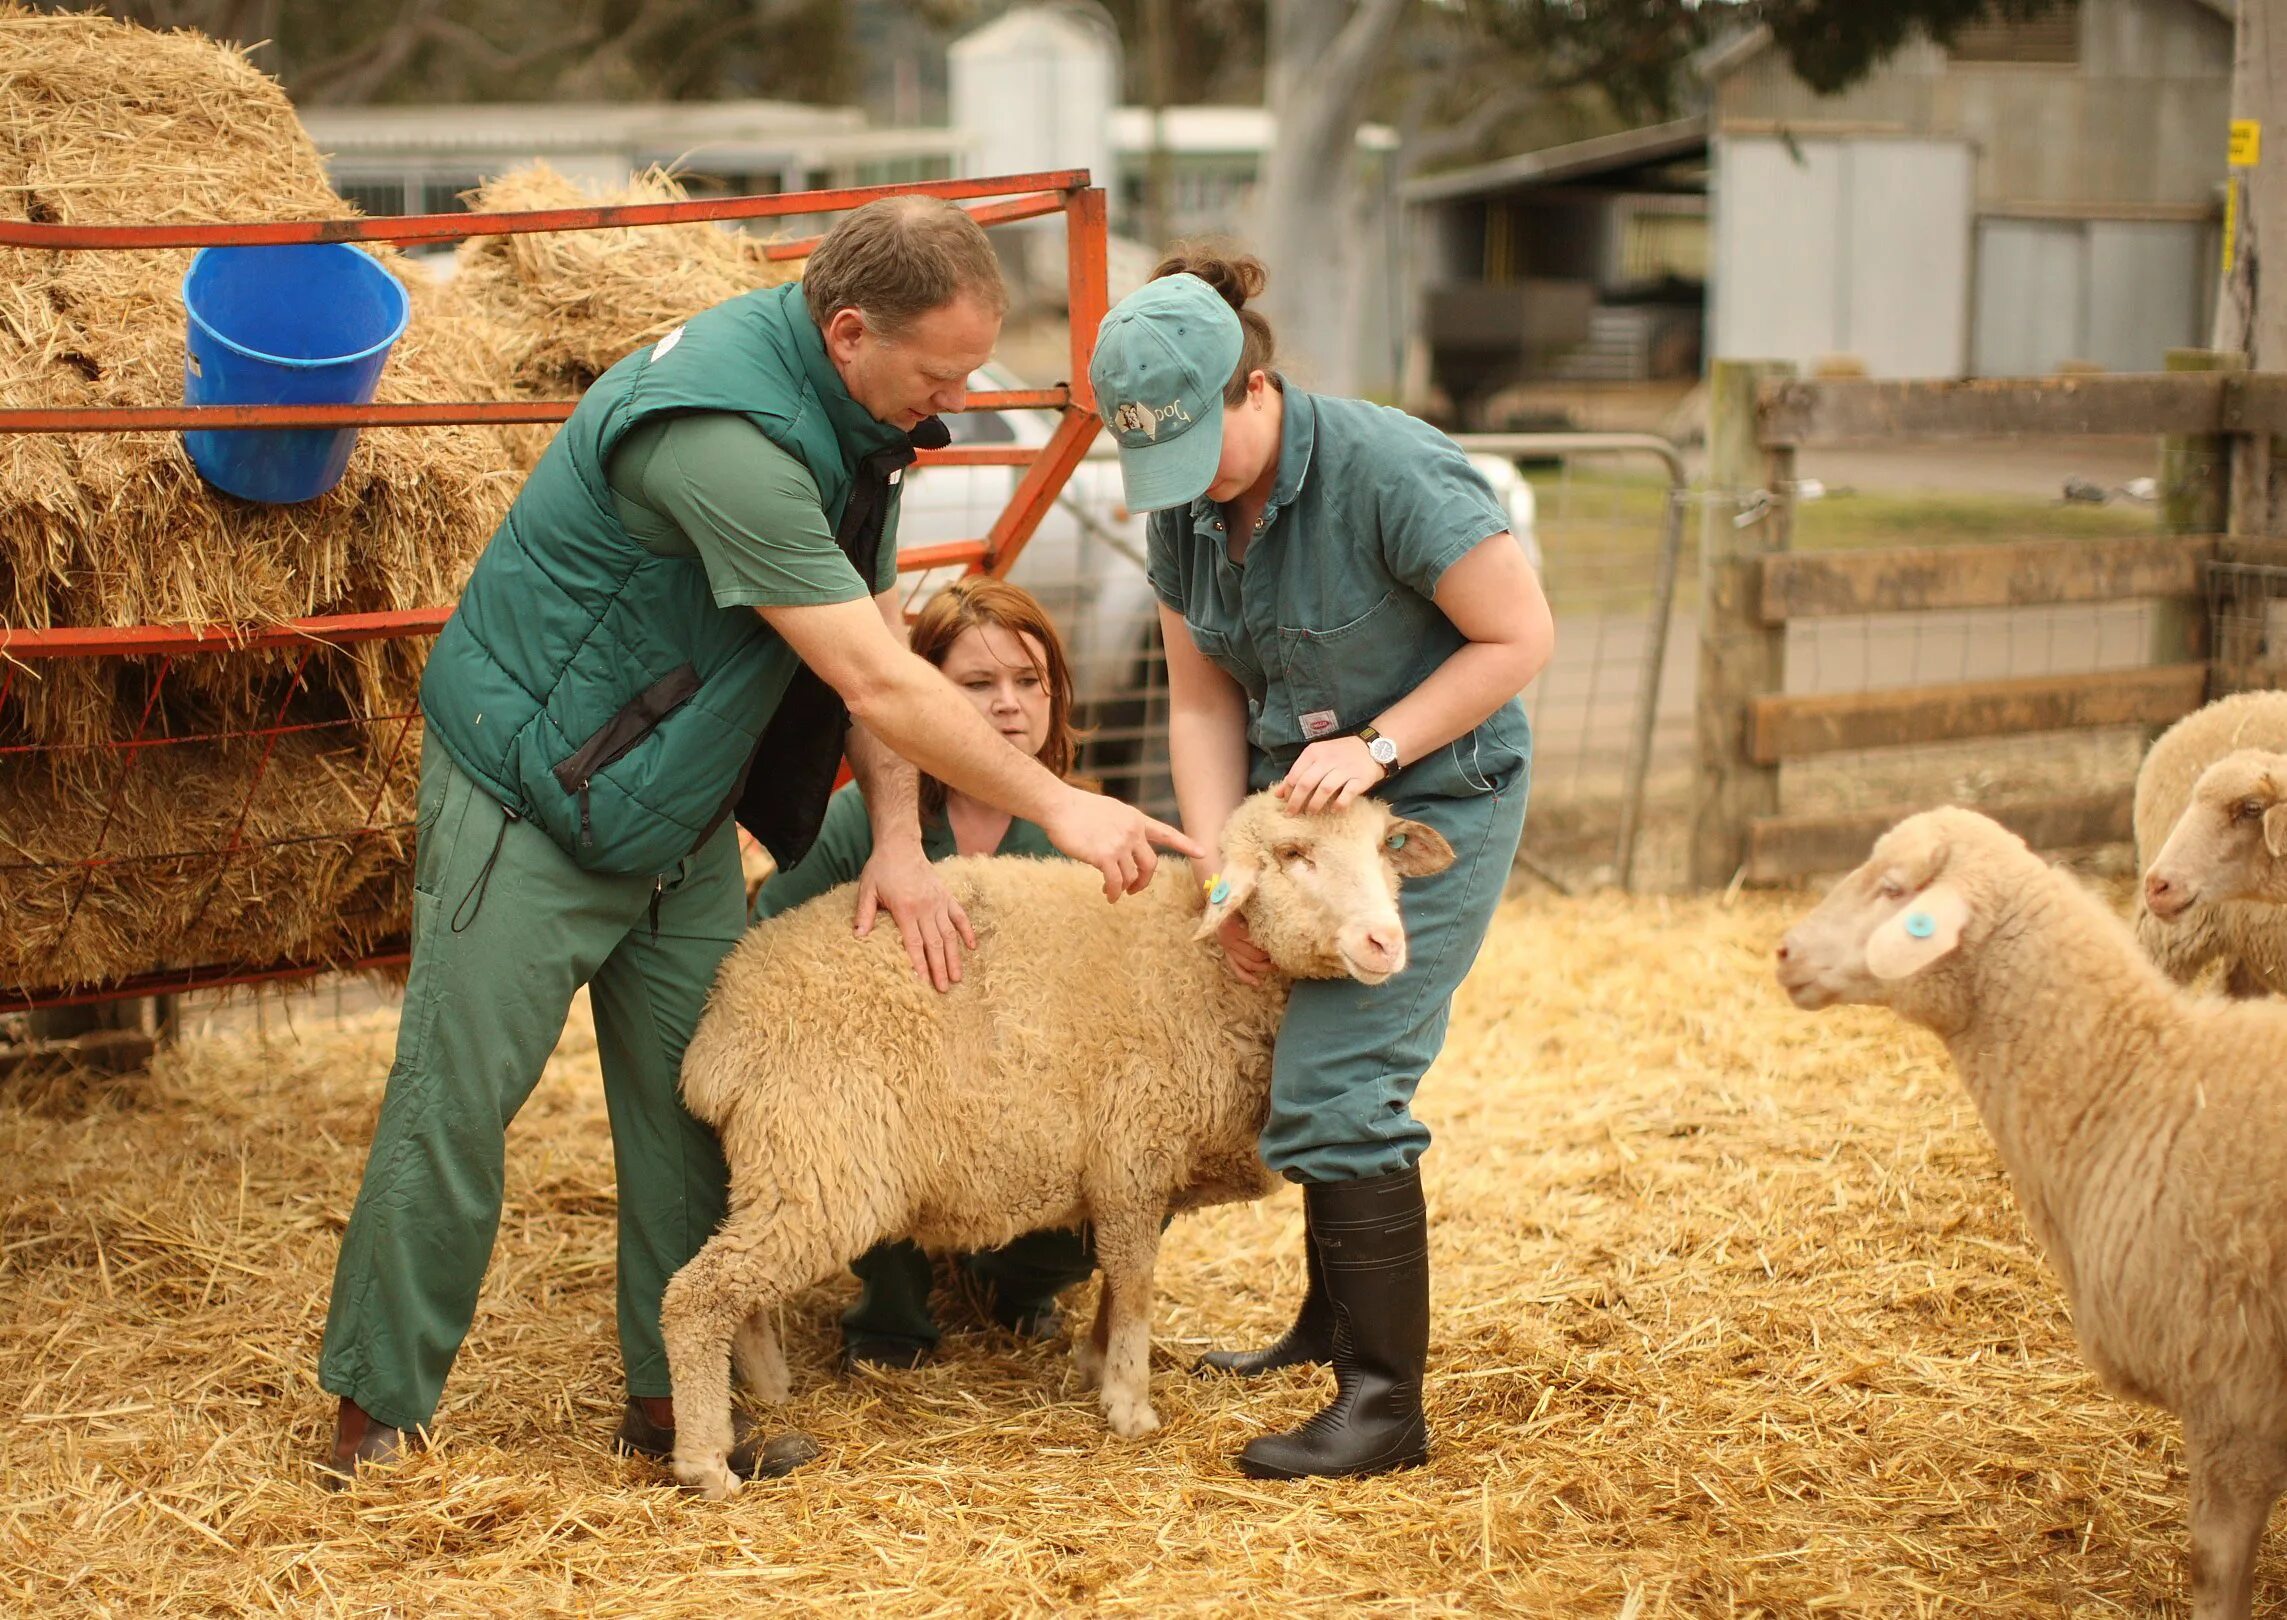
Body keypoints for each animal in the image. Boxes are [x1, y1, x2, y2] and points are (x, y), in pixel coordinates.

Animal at [658, 791, 1445, 1501]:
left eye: (1385, 849)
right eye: (1292, 856)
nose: (1386, 942)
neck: (1207, 969)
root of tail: (721, 1026)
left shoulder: (1133, 1176)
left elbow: (1118, 1280)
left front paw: (1097, 1364)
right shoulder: (1134, 1154)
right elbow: (1134, 1283)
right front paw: (1129, 1404)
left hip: (783, 1167)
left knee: (737, 1291)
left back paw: (767, 1388)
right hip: (823, 1165)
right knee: (700, 1293)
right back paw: (706, 1458)